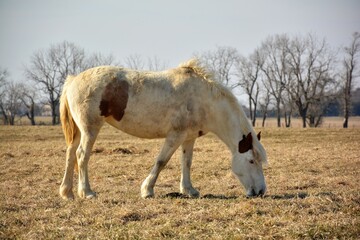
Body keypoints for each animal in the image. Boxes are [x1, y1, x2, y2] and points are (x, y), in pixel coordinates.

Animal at [59, 59, 268, 200]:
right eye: (251, 161)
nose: (261, 191)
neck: (203, 100)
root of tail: (73, 79)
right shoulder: (175, 135)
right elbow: (161, 161)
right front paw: (147, 190)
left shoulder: (189, 138)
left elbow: (187, 162)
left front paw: (189, 190)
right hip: (90, 129)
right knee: (81, 155)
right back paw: (87, 192)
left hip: (79, 131)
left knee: (70, 154)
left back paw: (67, 193)